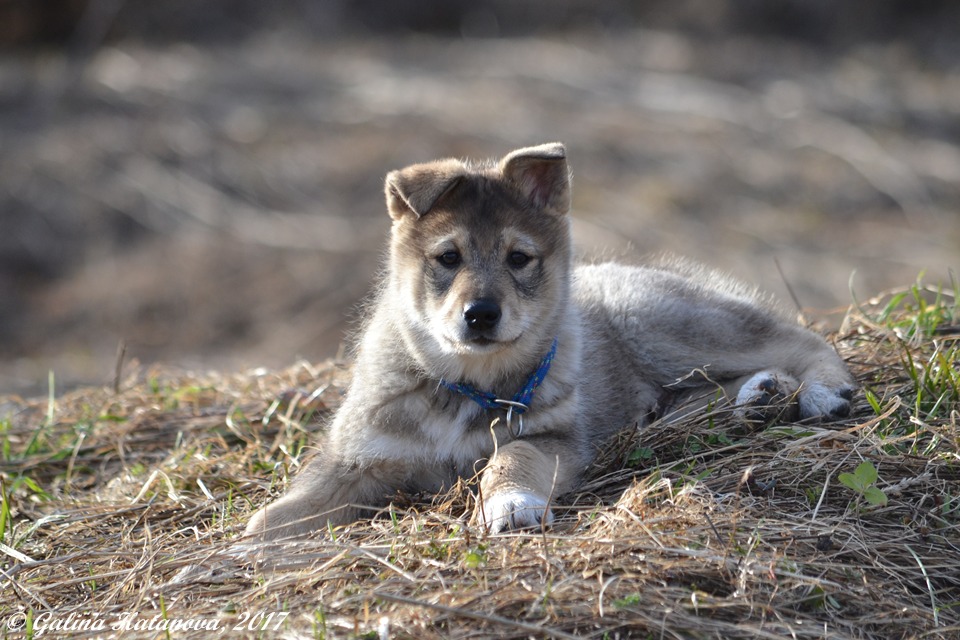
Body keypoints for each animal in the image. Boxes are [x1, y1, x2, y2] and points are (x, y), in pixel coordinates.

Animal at [242, 142, 856, 536]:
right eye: (448, 258)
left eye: (519, 258)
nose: (480, 315)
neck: (463, 388)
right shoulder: (355, 459)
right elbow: (293, 507)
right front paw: (246, 546)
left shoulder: (552, 437)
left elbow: (509, 457)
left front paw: (510, 504)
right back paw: (760, 396)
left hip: (661, 327)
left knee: (799, 340)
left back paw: (819, 392)